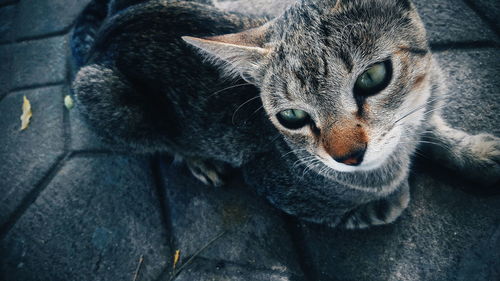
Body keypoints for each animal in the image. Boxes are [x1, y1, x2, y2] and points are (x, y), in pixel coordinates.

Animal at [71, 0, 500, 228]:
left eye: (372, 77)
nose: (348, 156)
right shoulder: (272, 182)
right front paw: (395, 189)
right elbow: (386, 203)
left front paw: (475, 153)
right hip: (98, 90)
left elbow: (435, 129)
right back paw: (195, 158)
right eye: (291, 116)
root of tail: (107, 32)